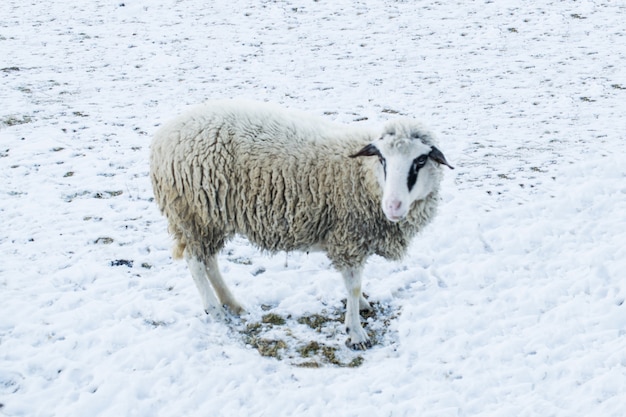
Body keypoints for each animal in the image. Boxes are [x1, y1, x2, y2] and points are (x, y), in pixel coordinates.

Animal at [151, 99, 454, 350]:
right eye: (382, 158)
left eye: (421, 160)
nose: (393, 206)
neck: (362, 176)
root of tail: (164, 136)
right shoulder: (348, 236)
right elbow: (353, 285)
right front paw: (355, 331)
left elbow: (355, 284)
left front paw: (360, 307)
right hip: (195, 213)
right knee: (195, 261)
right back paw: (214, 310)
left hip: (211, 217)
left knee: (210, 260)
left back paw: (232, 303)